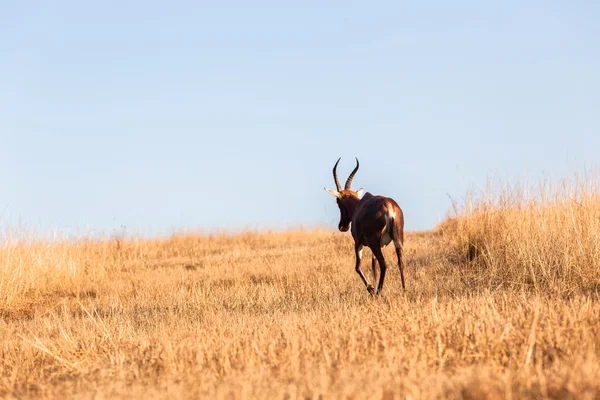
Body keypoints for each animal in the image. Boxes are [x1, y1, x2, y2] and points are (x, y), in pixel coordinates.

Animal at [326, 159, 406, 294]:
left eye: (337, 201)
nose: (343, 227)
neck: (359, 205)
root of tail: (388, 207)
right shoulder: (377, 245)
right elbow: (374, 268)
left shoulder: (358, 242)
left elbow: (358, 267)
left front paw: (371, 288)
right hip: (397, 239)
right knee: (400, 262)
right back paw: (404, 290)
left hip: (374, 242)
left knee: (383, 264)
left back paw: (378, 292)